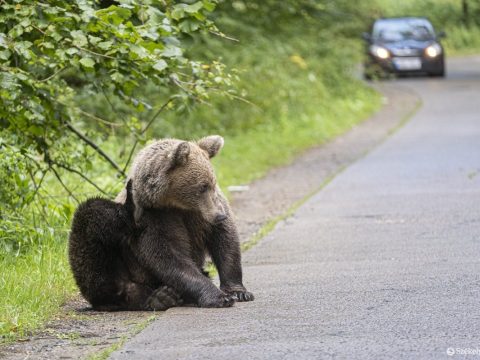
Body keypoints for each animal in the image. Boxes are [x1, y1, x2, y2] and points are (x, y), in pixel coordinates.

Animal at [116, 135, 253, 306]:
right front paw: (219, 296)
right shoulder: (152, 218)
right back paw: (162, 297)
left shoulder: (202, 215)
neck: (175, 204)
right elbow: (169, 257)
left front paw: (238, 292)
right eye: (202, 186)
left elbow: (225, 240)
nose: (220, 215)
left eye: (213, 183)